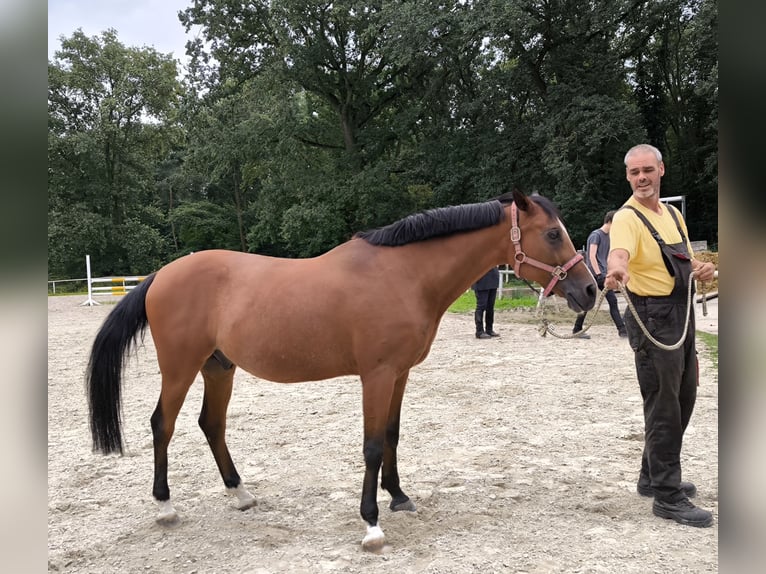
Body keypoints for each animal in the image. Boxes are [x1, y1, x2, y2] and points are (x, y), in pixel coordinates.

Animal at [85, 190, 600, 552]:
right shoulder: (377, 375)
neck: (403, 275)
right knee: (163, 425)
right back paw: (165, 506)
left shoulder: (400, 374)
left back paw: (241, 495)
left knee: (210, 424)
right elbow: (371, 446)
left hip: (219, 368)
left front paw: (399, 496)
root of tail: (161, 275)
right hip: (180, 368)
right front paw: (371, 524)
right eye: (552, 234)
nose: (590, 290)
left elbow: (391, 435)